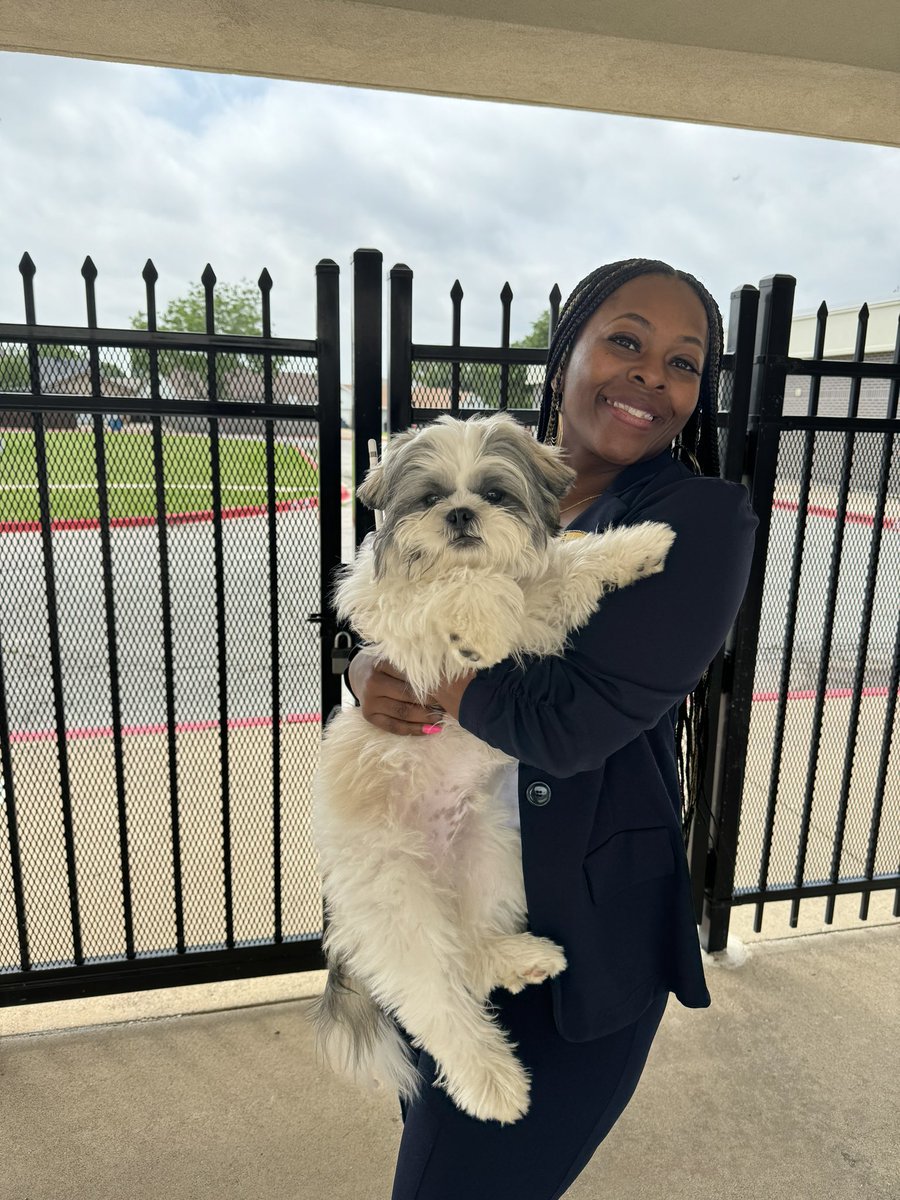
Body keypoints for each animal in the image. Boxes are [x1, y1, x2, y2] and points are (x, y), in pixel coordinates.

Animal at [309, 412, 672, 1123]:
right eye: (429, 498)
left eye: (495, 495)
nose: (460, 514)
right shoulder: (405, 622)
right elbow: (461, 591)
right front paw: (476, 621)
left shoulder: (538, 604)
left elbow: (564, 567)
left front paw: (641, 545)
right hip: (399, 905)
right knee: (438, 1001)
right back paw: (493, 1084)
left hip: (493, 851)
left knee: (469, 955)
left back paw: (520, 958)